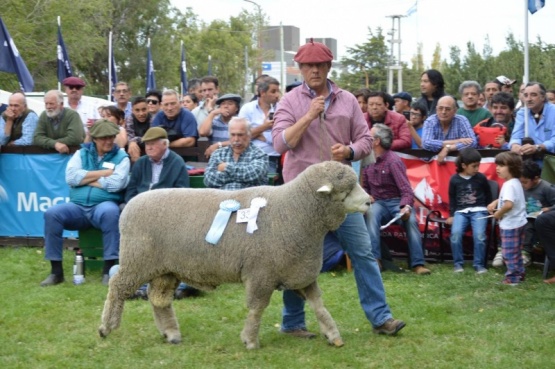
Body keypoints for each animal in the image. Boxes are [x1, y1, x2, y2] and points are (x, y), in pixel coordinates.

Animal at [98, 160, 372, 348]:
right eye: (345, 191)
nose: (370, 201)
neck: (295, 210)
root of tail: (130, 204)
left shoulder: (300, 272)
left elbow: (319, 306)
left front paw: (333, 335)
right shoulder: (261, 273)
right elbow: (257, 308)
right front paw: (250, 340)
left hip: (166, 268)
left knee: (159, 299)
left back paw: (171, 334)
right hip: (137, 260)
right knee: (117, 286)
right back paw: (106, 327)